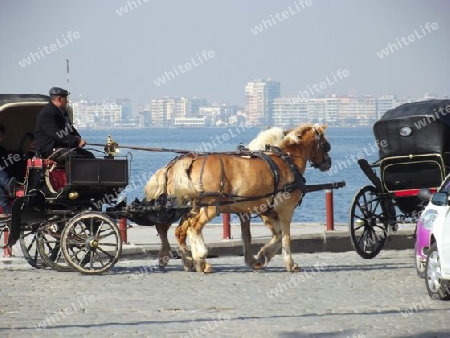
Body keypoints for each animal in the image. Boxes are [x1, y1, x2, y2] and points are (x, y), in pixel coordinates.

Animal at [146, 123, 332, 272]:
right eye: (325, 145)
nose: (328, 162)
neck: (285, 161)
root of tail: (188, 160)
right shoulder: (286, 210)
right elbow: (285, 236)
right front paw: (290, 264)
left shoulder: (264, 211)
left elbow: (267, 235)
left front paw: (262, 256)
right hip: (209, 206)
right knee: (193, 227)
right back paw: (200, 258)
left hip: (191, 206)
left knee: (180, 230)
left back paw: (189, 261)